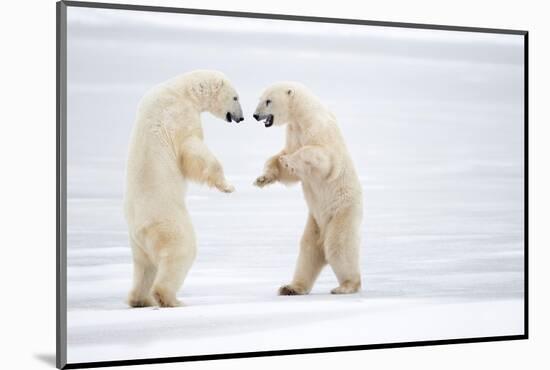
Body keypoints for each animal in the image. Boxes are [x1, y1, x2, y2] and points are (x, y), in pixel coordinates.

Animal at [125, 71, 246, 308]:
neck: (182, 90)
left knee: (144, 267)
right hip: (169, 224)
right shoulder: (179, 116)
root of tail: (141, 229)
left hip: (136, 243)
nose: (241, 118)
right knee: (181, 252)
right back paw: (170, 299)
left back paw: (140, 299)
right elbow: (192, 150)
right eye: (236, 97)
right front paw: (227, 186)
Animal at [254, 81, 366, 294]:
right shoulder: (293, 132)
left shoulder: (318, 127)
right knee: (308, 251)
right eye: (260, 99)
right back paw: (290, 288)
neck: (302, 114)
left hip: (341, 210)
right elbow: (287, 169)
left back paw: (346, 285)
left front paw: (289, 160)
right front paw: (262, 178)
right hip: (314, 221)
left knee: (338, 246)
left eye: (268, 101)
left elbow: (322, 157)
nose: (255, 115)